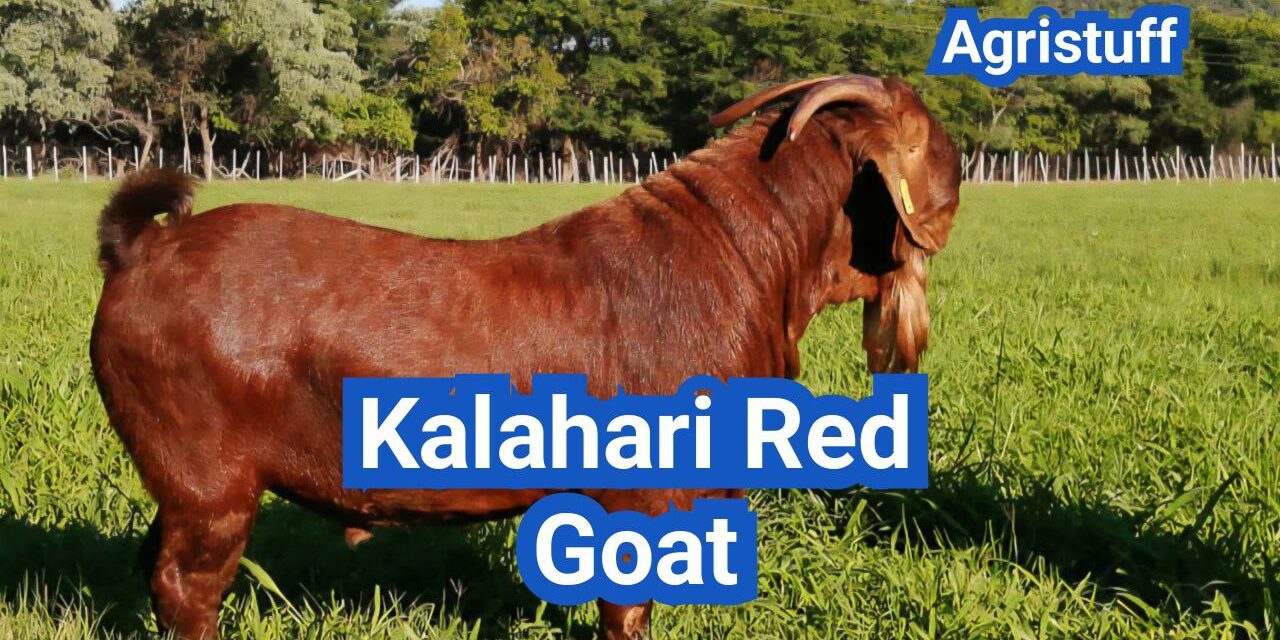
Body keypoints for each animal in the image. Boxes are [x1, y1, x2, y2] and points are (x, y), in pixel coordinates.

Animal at [91, 75, 959, 640]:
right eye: (933, 142)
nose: (957, 171)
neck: (744, 257)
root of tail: (141, 248)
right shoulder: (643, 491)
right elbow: (626, 608)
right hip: (209, 482)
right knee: (187, 588)